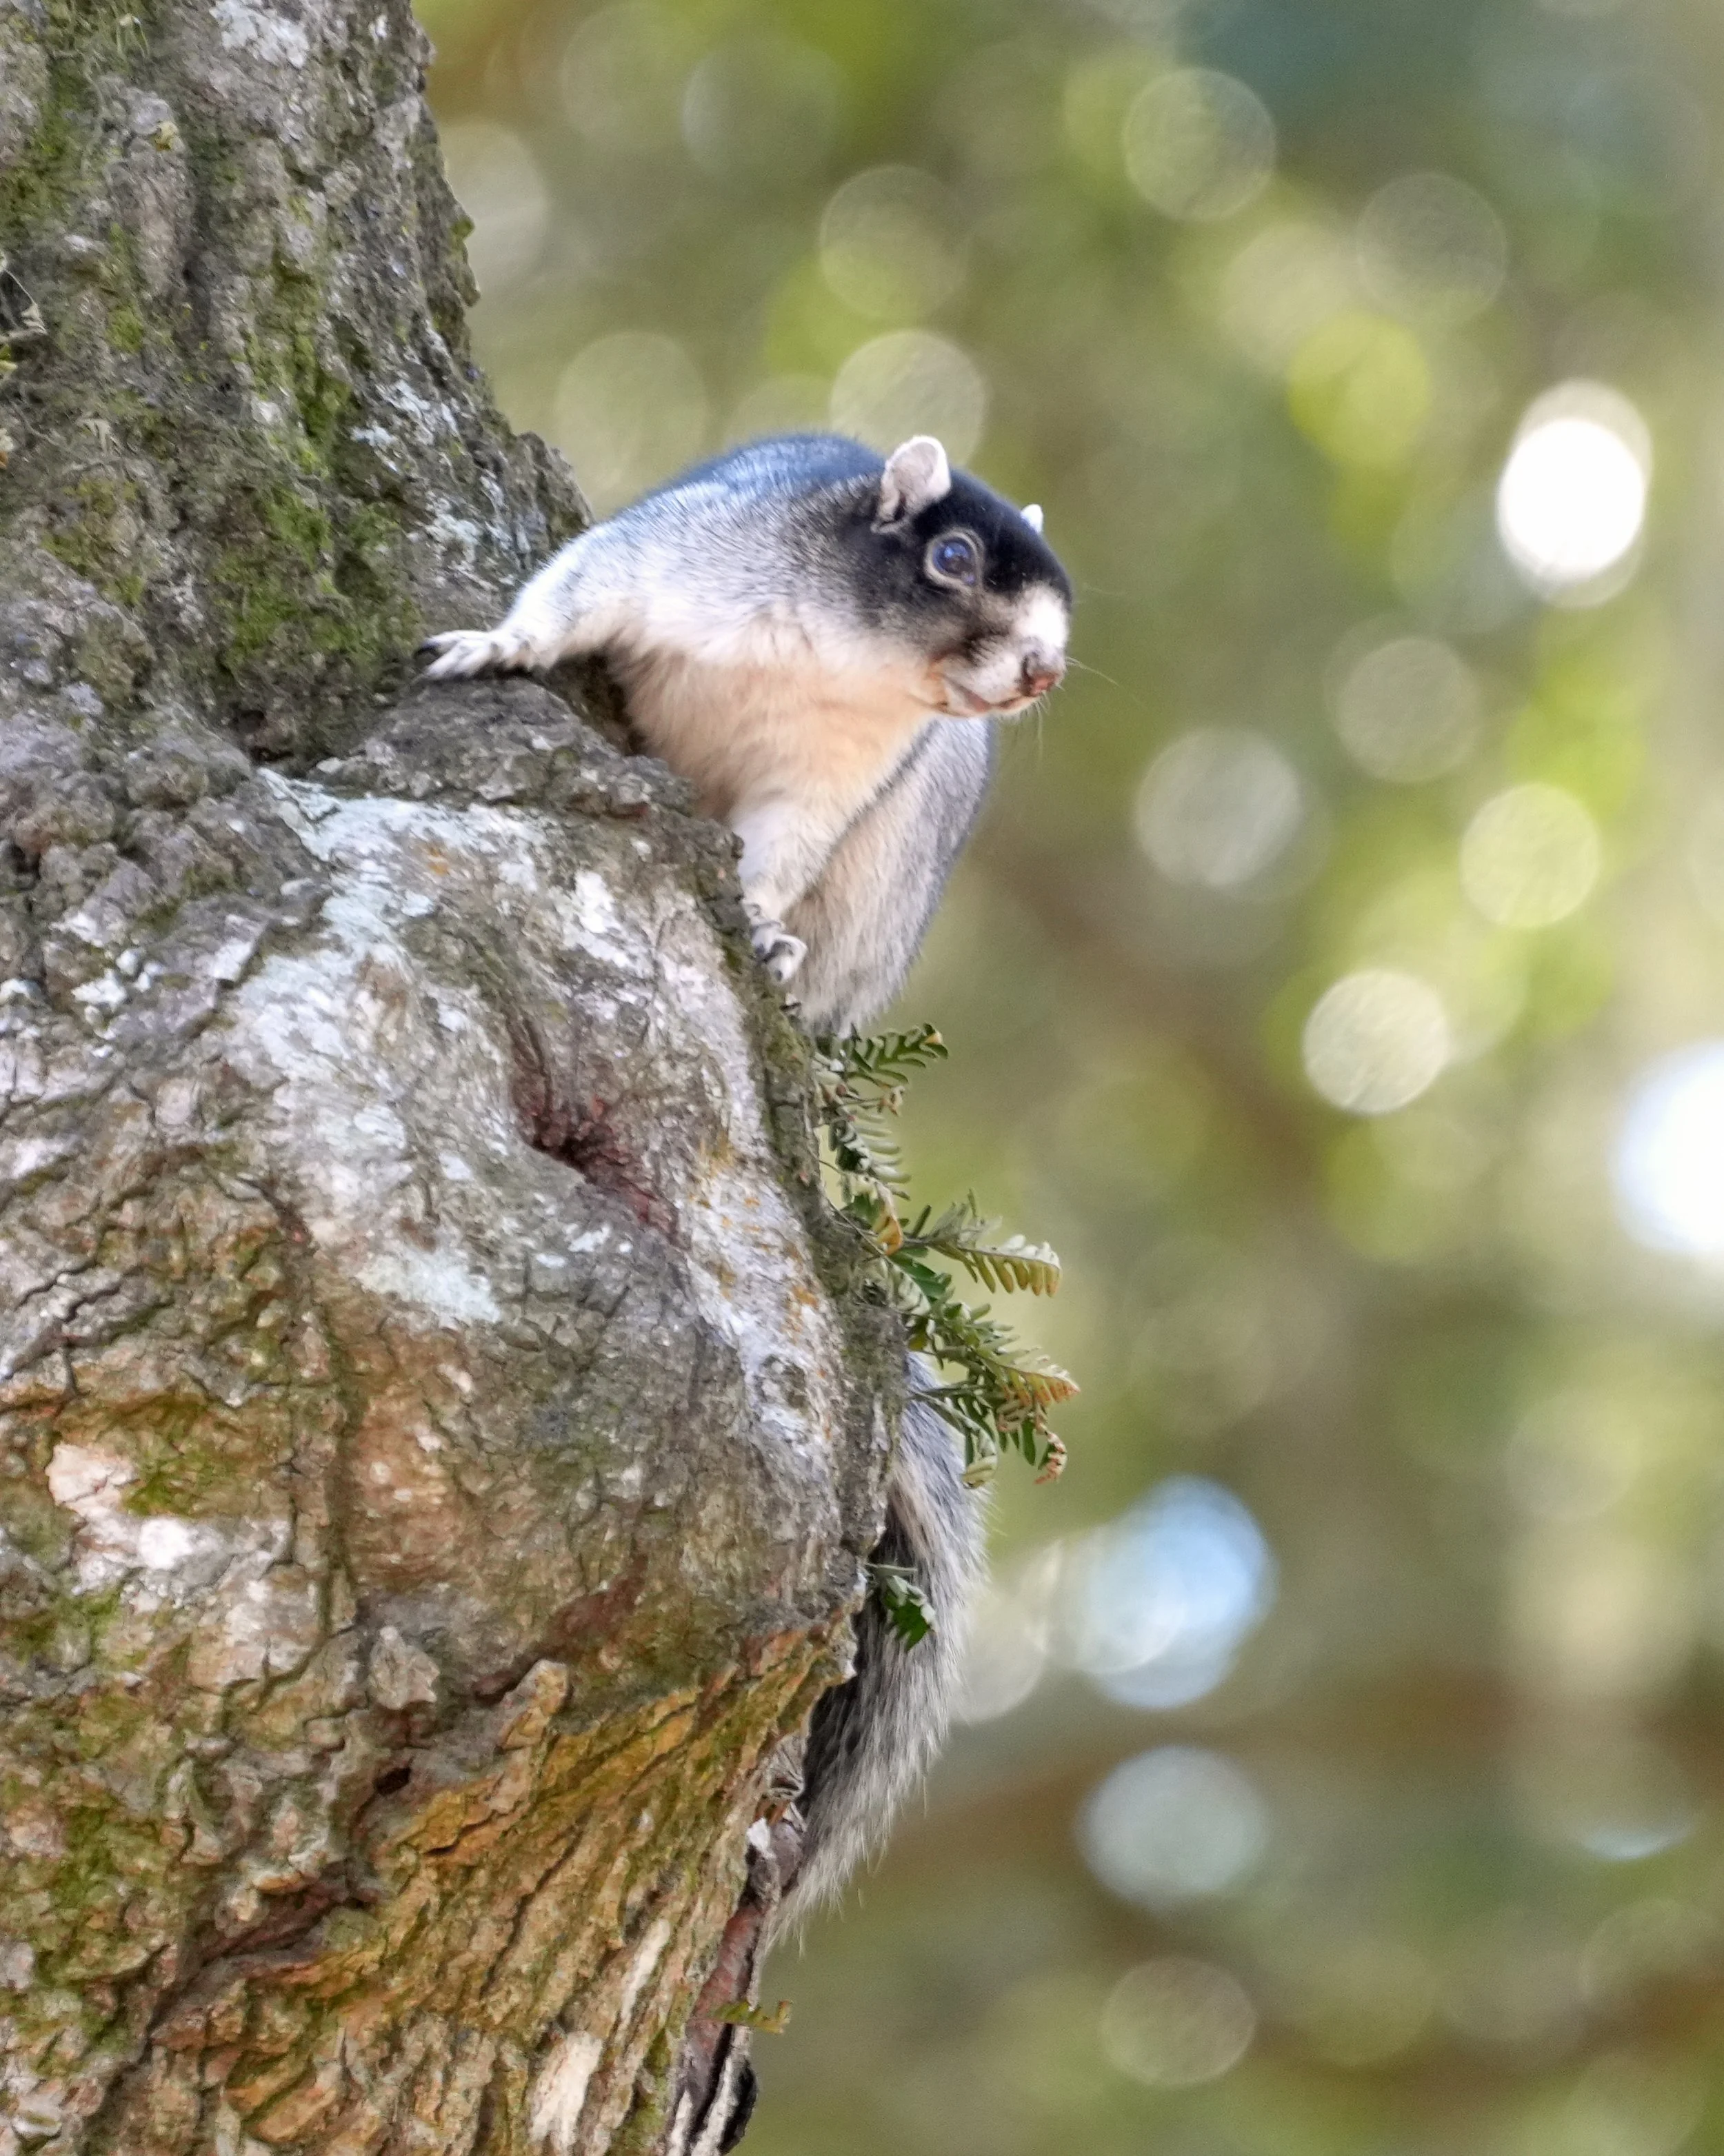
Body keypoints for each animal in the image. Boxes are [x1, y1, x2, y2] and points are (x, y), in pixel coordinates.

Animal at [424, 431, 1069, 2130]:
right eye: (954, 561)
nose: (1041, 672)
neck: (838, 656)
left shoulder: (834, 785)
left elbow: (775, 853)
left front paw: (761, 934)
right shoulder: (677, 559)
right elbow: (569, 597)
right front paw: (492, 646)